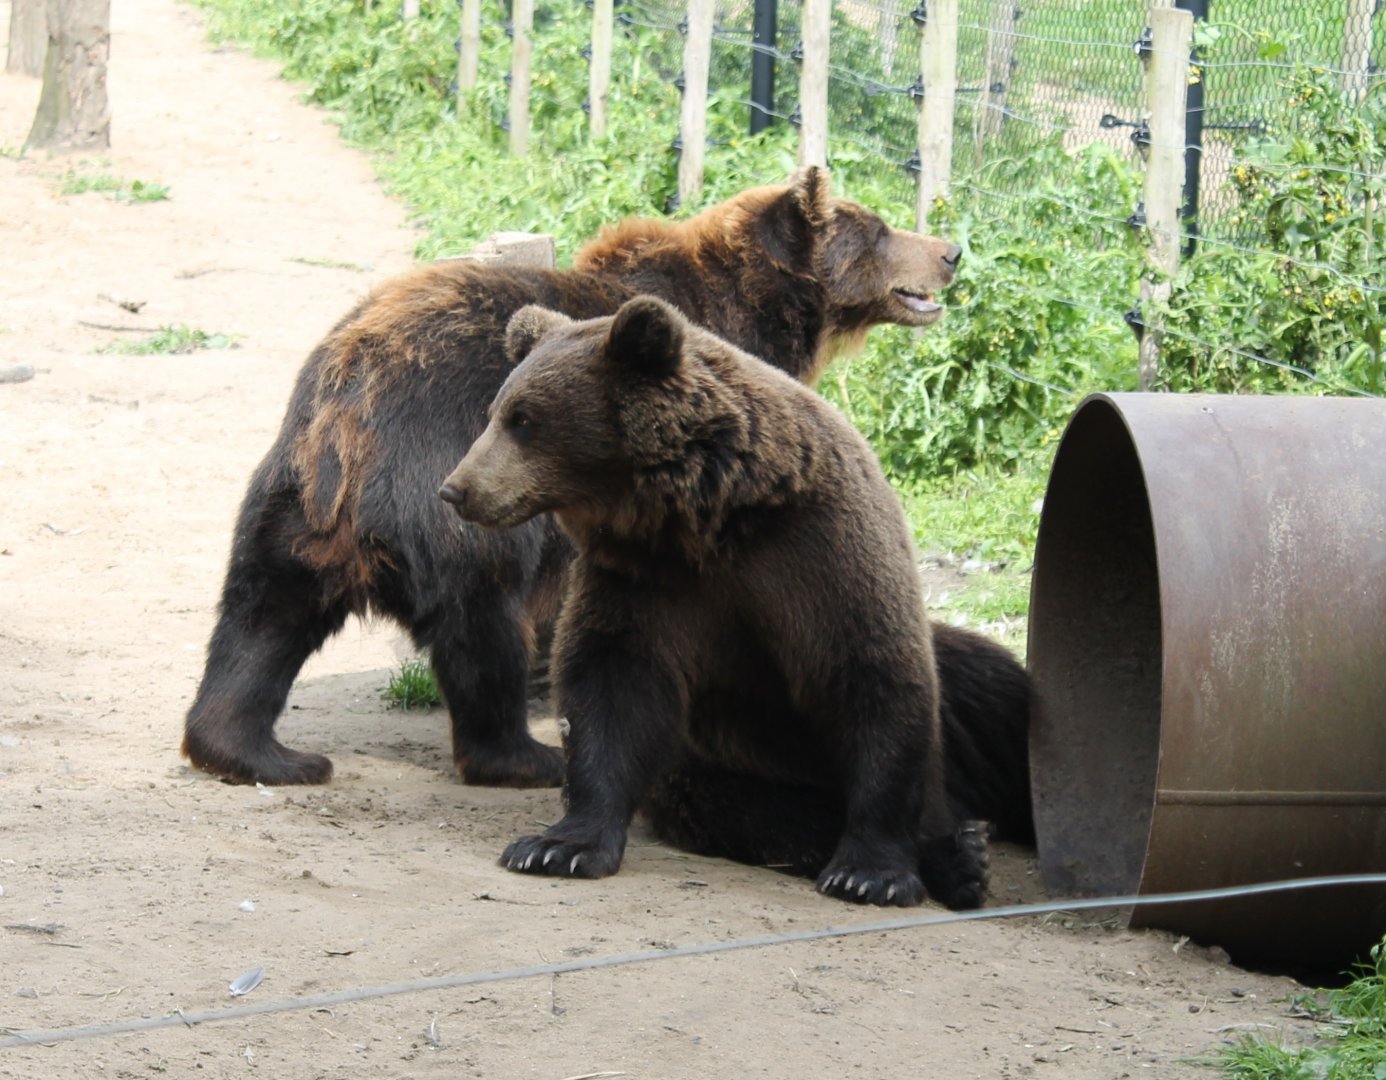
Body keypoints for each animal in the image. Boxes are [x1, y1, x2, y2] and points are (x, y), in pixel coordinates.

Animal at [181, 166, 974, 793]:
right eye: (877, 229)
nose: (951, 252)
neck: (765, 310)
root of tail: (350, 406)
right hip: (459, 491)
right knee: (485, 624)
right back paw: (526, 755)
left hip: (291, 501)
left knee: (261, 617)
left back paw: (260, 751)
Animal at [438, 295, 991, 908]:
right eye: (497, 411)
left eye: (524, 419)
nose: (456, 489)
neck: (711, 516)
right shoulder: (645, 581)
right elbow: (611, 689)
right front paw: (556, 846)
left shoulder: (821, 552)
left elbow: (874, 677)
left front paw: (870, 872)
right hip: (715, 771)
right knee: (754, 812)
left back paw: (963, 855)